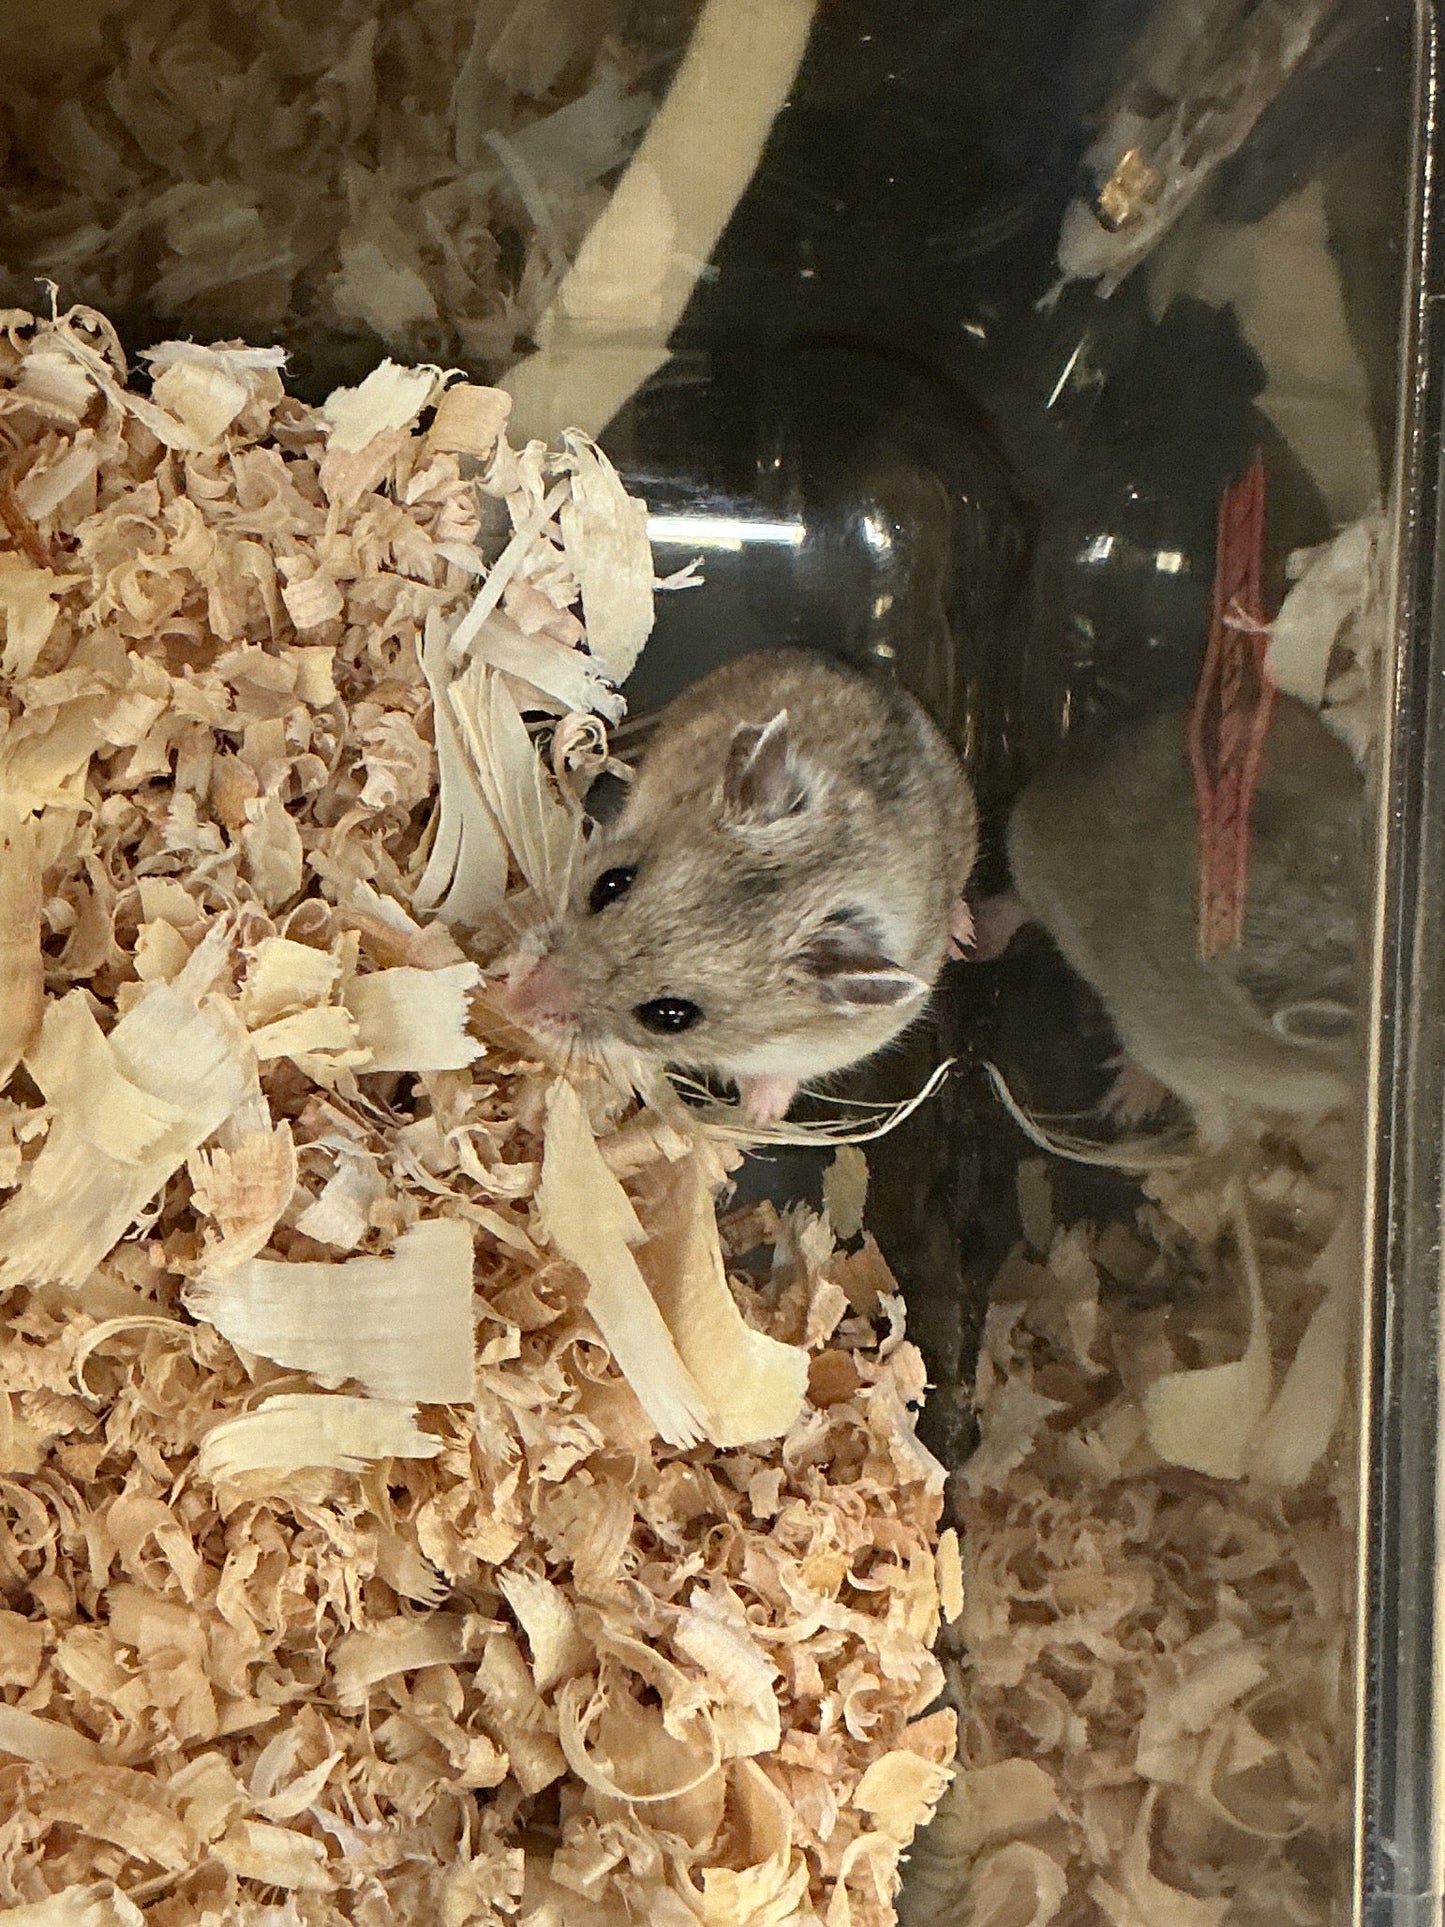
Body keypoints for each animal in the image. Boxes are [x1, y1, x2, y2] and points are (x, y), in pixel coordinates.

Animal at [504, 648, 978, 1121]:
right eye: (611, 883)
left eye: (670, 1016)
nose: (515, 1006)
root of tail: (872, 668)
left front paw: (758, 1114)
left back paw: (963, 934)